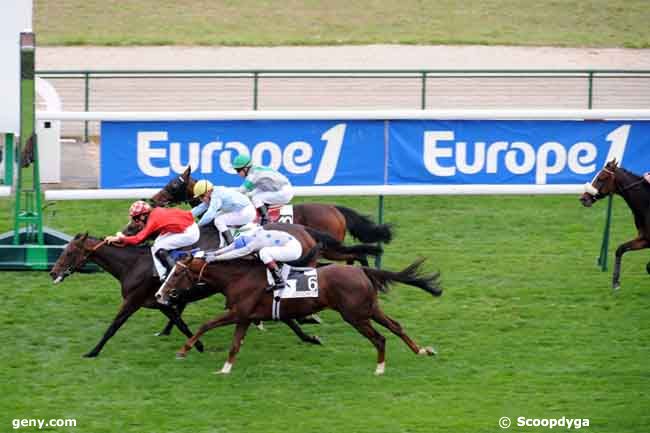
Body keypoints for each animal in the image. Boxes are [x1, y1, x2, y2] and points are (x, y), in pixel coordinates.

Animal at [156, 256, 440, 374]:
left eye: (178, 273)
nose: (160, 294)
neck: (238, 277)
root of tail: (361, 271)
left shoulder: (238, 312)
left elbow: (206, 324)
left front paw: (184, 350)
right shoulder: (244, 317)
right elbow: (235, 344)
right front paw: (225, 369)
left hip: (355, 315)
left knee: (380, 338)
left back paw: (380, 368)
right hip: (369, 308)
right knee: (396, 326)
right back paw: (421, 350)